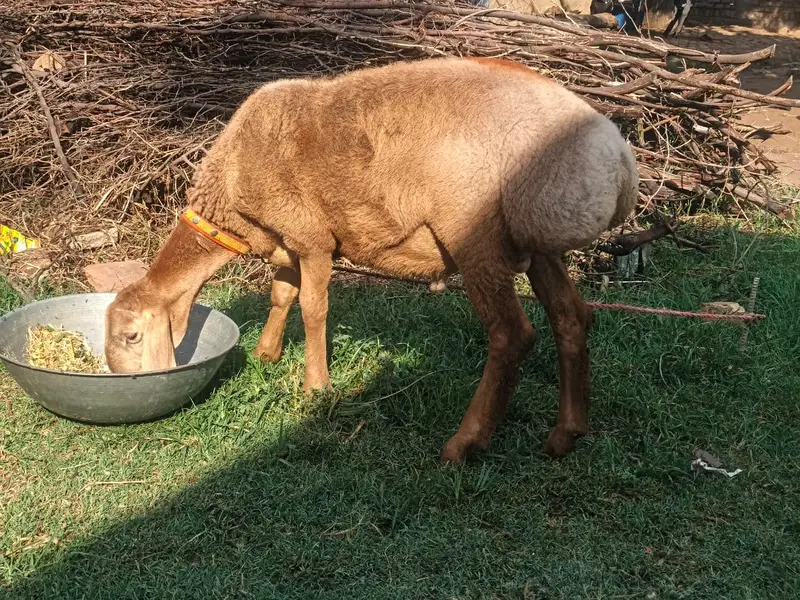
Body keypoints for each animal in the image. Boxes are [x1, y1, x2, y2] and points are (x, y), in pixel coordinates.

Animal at [105, 57, 638, 463]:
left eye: (131, 336)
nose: (124, 382)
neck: (230, 187)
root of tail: (616, 160)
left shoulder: (312, 237)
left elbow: (313, 308)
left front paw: (316, 386)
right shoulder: (289, 238)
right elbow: (281, 294)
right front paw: (265, 353)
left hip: (477, 237)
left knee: (512, 335)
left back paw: (464, 444)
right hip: (537, 242)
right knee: (572, 318)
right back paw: (566, 434)